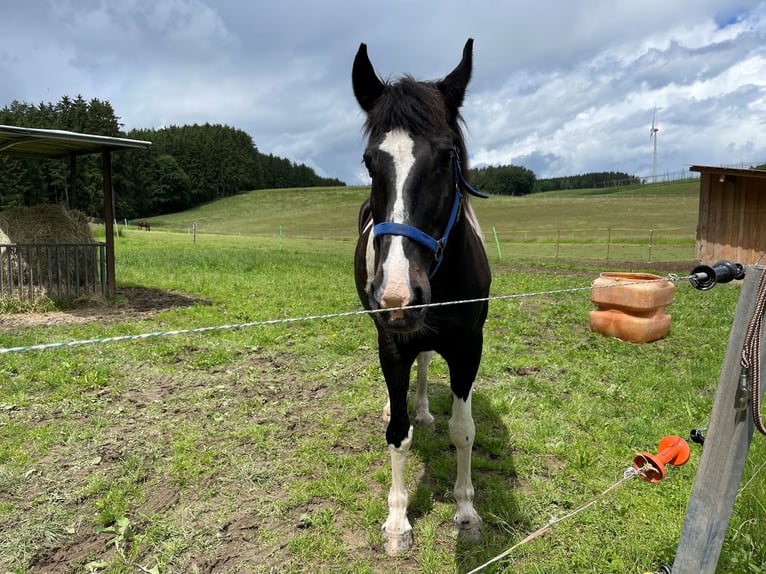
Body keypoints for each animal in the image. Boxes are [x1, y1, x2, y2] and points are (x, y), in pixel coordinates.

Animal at [352, 39, 492, 560]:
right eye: (370, 160)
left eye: (447, 154)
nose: (397, 296)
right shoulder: (392, 343)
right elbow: (397, 435)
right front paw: (397, 522)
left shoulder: (469, 347)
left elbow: (463, 431)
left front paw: (467, 513)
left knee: (427, 363)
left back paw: (426, 409)